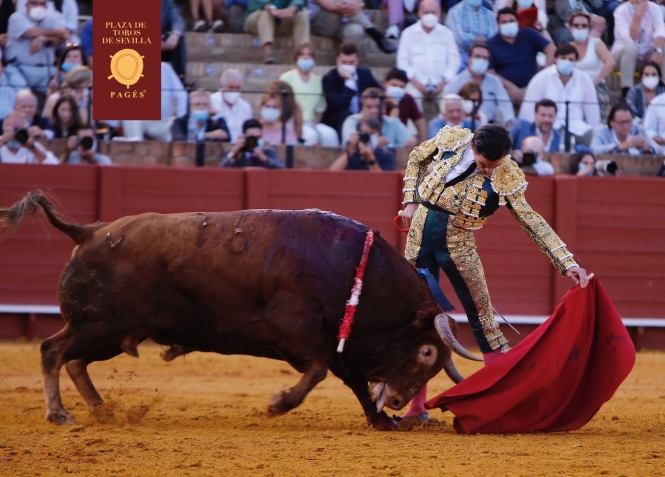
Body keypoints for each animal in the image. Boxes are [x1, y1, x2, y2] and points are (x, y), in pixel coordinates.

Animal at [0, 192, 478, 430]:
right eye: (427, 353)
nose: (398, 400)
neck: (355, 271)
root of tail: (90, 231)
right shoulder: (300, 332)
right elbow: (317, 371)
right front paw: (279, 403)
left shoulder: (343, 346)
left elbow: (355, 382)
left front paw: (381, 420)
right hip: (97, 325)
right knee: (52, 351)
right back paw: (59, 414)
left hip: (114, 333)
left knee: (75, 361)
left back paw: (103, 411)